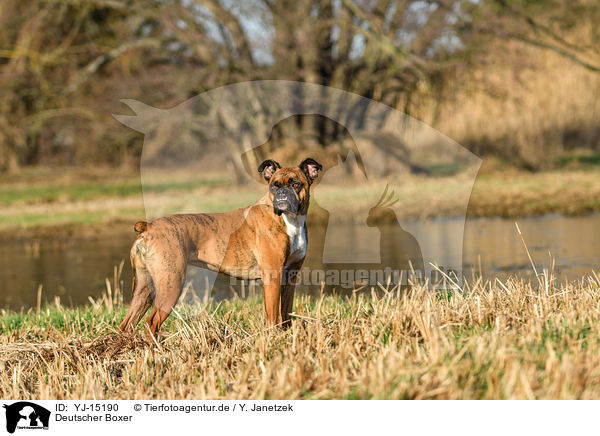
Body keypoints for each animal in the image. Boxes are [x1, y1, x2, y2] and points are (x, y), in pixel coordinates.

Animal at [118, 158, 324, 338]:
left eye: (296, 184)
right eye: (274, 186)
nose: (282, 194)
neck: (289, 220)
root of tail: (148, 228)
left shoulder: (290, 276)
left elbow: (286, 312)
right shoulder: (272, 276)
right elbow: (273, 315)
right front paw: (273, 337)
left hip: (145, 288)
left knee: (127, 324)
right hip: (171, 284)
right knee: (151, 323)